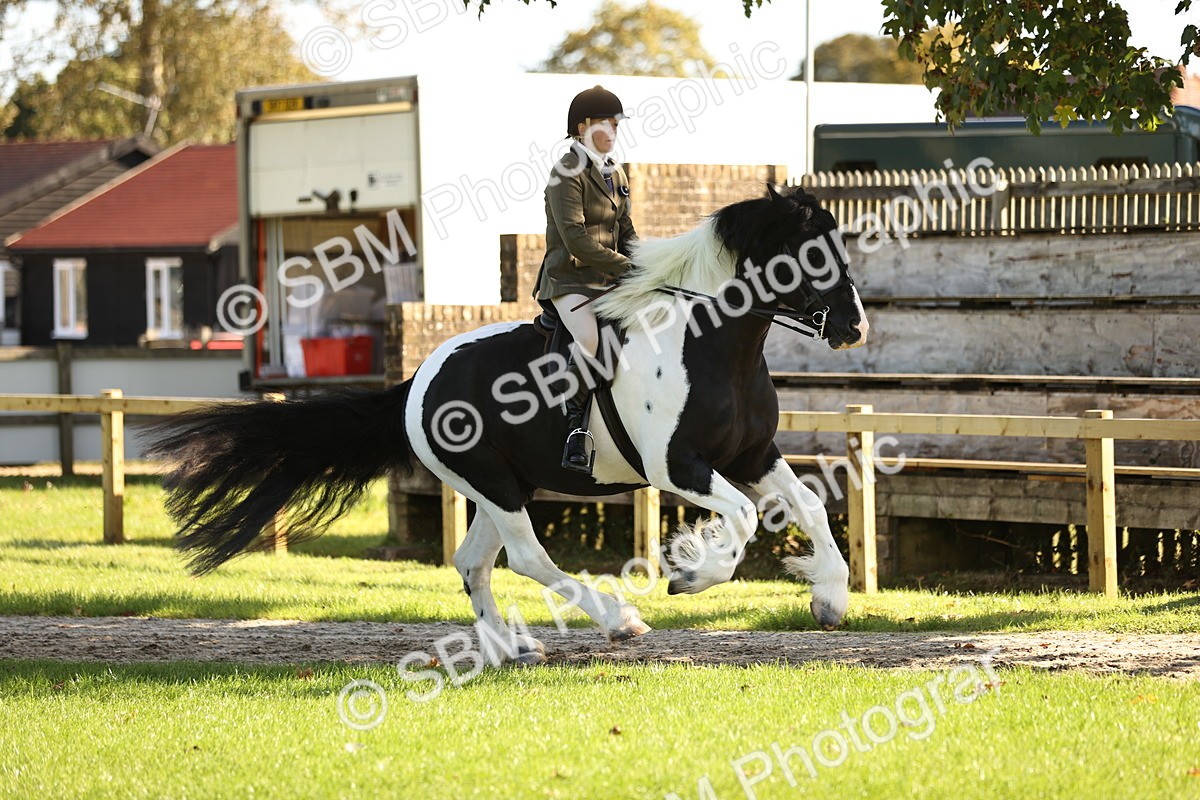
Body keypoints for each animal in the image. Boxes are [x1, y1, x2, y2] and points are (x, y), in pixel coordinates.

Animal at [146, 184, 868, 665]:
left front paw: (829, 598)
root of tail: (418, 382)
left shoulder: (753, 454)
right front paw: (690, 571)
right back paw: (618, 620)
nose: (856, 328)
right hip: (492, 481)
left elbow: (807, 505)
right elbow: (743, 519)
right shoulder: (678, 466)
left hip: (501, 485)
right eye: (811, 252)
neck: (709, 341)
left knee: (474, 561)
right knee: (525, 556)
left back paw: (511, 647)